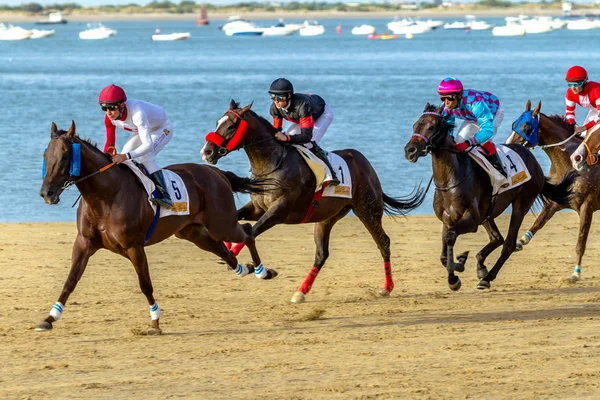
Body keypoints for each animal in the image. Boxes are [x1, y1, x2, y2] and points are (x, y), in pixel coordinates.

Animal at [36, 120, 274, 332]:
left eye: (65, 156)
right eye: (45, 156)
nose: (47, 193)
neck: (106, 196)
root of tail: (217, 173)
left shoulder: (134, 247)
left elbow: (145, 284)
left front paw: (155, 321)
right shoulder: (84, 243)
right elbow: (70, 280)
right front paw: (50, 318)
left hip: (221, 222)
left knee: (247, 232)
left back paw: (262, 271)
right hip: (193, 232)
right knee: (225, 251)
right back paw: (245, 269)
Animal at [199, 100, 424, 304]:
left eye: (231, 126)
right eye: (218, 122)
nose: (206, 152)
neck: (271, 163)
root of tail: (365, 163)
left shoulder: (279, 210)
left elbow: (252, 232)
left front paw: (239, 259)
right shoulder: (257, 208)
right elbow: (238, 221)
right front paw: (227, 249)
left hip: (367, 209)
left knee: (383, 242)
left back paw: (387, 287)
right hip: (327, 217)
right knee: (321, 254)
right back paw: (300, 292)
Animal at [406, 103, 576, 290]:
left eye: (431, 127)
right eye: (415, 125)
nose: (410, 150)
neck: (450, 180)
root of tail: (534, 161)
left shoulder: (471, 219)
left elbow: (450, 237)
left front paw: (454, 277)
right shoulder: (447, 219)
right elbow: (444, 253)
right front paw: (459, 265)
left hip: (521, 205)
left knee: (508, 244)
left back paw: (487, 278)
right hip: (487, 212)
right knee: (497, 238)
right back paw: (481, 267)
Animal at [506, 100, 600, 282]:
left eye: (527, 127)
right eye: (514, 123)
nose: (508, 146)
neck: (568, 165)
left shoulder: (587, 206)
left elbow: (580, 243)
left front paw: (575, 273)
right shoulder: (554, 202)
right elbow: (537, 223)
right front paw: (520, 242)